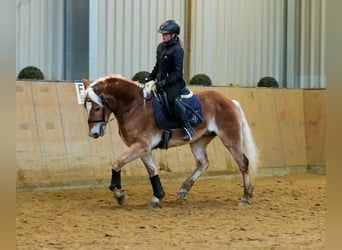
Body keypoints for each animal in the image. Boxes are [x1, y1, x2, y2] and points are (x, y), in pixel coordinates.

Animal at [82, 73, 260, 207]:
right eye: (85, 106)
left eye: (97, 107)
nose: (93, 134)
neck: (135, 107)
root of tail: (231, 101)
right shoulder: (143, 149)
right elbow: (152, 170)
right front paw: (158, 197)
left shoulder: (141, 146)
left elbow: (117, 163)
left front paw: (120, 195)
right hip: (198, 140)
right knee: (203, 163)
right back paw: (183, 190)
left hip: (230, 139)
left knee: (243, 163)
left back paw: (246, 197)